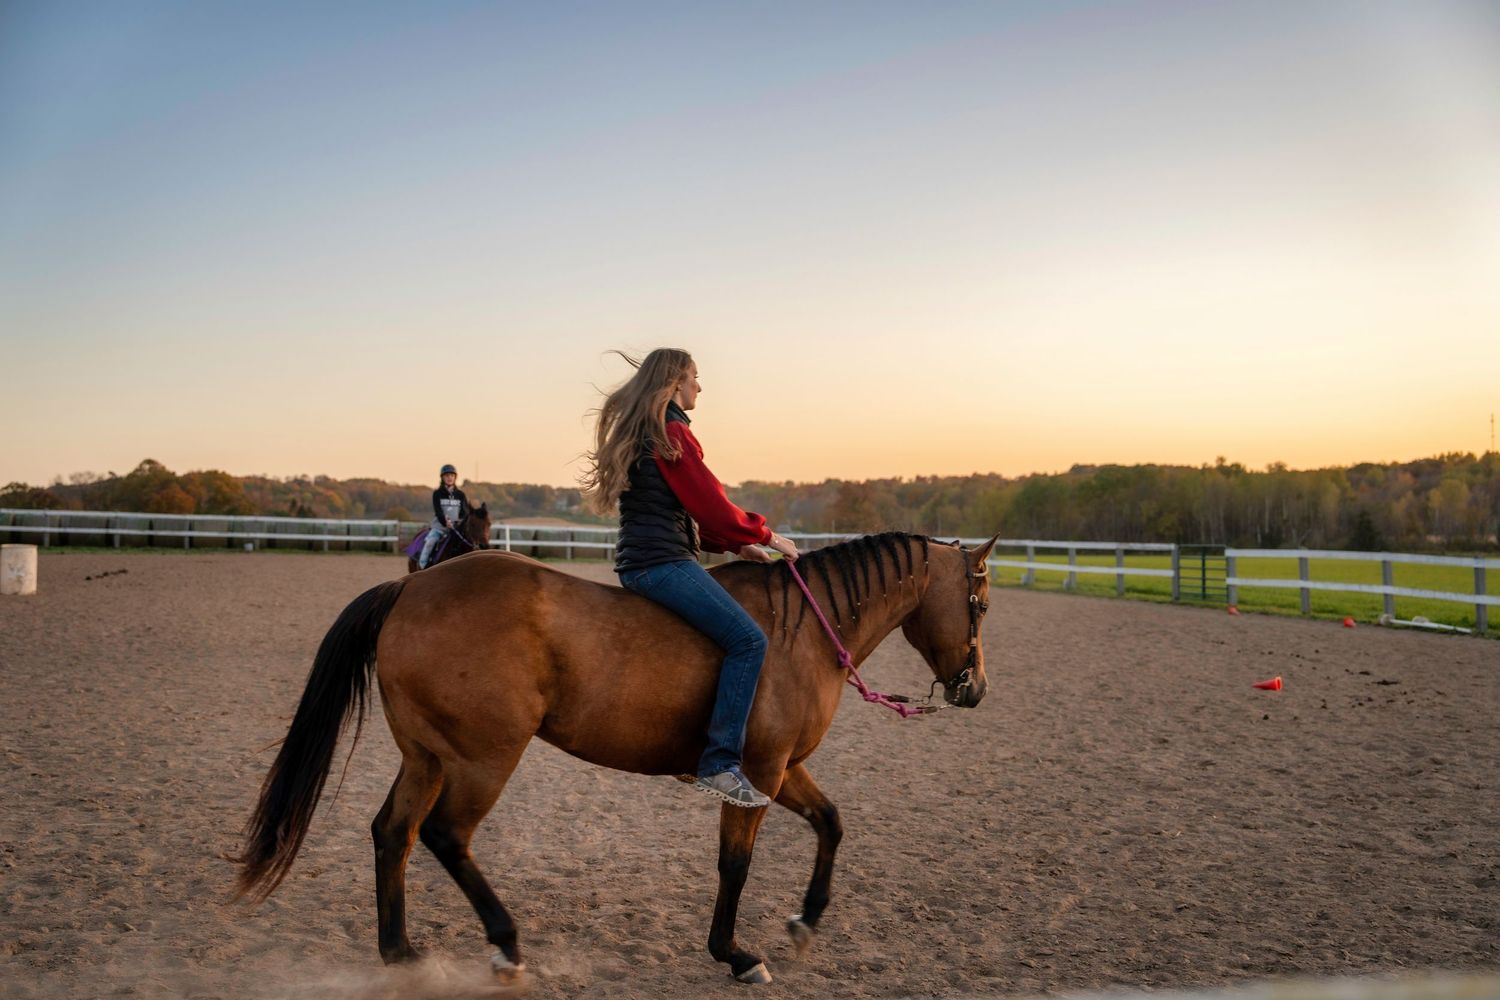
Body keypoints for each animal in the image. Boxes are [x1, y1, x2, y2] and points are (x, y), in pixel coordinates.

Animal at [236, 530, 998, 986]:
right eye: (982, 603)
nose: (976, 688)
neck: (800, 633)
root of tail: (411, 588)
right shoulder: (754, 772)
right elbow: (736, 864)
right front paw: (733, 954)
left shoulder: (781, 771)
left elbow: (832, 822)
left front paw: (806, 922)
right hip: (483, 759)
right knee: (446, 836)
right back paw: (504, 943)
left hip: (427, 756)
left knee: (393, 833)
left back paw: (399, 952)